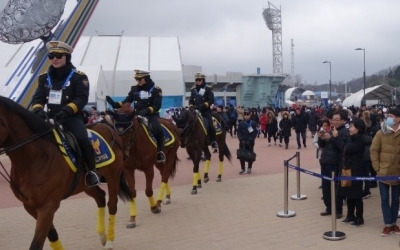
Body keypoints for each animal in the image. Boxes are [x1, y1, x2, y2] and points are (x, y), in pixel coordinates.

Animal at [0, 96, 132, 250]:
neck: (36, 158)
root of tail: (110, 129)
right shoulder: (30, 207)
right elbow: (52, 235)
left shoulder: (47, 207)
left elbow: (36, 244)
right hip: (84, 185)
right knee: (100, 197)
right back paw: (103, 237)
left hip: (113, 176)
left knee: (112, 204)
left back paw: (109, 241)